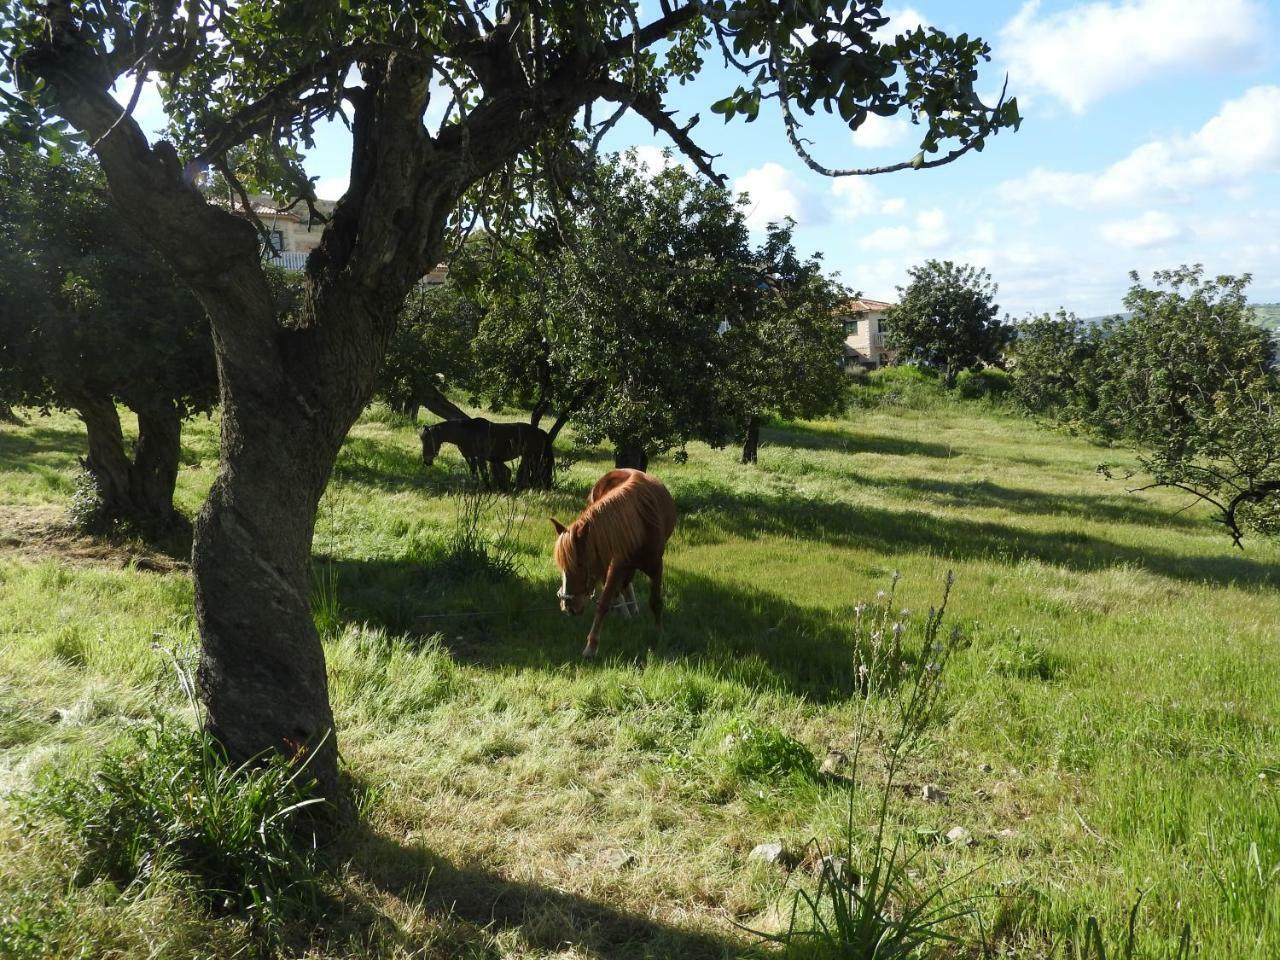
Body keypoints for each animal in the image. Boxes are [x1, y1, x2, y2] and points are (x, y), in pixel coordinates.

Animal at [419, 417, 550, 488]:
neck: (468, 433)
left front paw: (488, 489)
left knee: (536, 472)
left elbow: (484, 474)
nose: (426, 461)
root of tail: (539, 431)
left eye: (428, 440)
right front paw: (476, 487)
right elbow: (474, 474)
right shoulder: (470, 457)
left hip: (533, 457)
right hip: (529, 457)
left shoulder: (481, 458)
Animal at [547, 468, 675, 660]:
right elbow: (604, 602)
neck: (640, 526)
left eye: (580, 564)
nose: (568, 607)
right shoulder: (616, 565)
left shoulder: (656, 566)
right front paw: (591, 647)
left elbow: (655, 602)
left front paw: (660, 634)